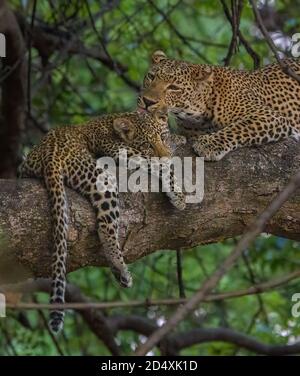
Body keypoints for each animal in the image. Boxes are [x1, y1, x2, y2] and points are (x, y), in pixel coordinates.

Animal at [18, 110, 185, 334]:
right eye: (148, 145)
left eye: (163, 137)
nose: (166, 154)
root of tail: (49, 156)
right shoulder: (123, 153)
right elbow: (159, 166)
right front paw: (178, 194)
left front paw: (178, 140)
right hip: (102, 179)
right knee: (105, 227)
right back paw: (120, 268)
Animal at [138, 50, 300, 160]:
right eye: (151, 76)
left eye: (174, 87)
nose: (148, 101)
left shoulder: (268, 115)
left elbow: (239, 127)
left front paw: (208, 144)